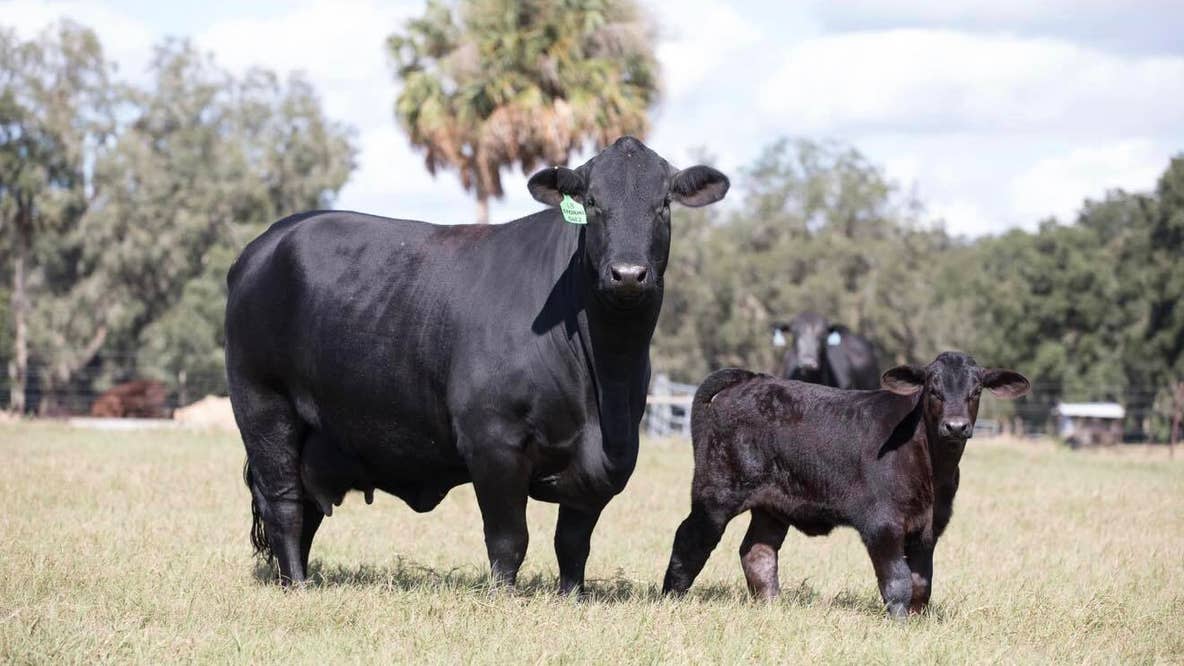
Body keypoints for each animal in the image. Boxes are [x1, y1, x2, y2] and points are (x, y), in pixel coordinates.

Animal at [225, 136, 729, 590]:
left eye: (663, 204)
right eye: (591, 202)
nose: (627, 274)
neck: (604, 380)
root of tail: (270, 240)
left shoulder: (606, 460)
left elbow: (573, 542)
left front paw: (573, 596)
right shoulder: (493, 442)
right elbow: (509, 540)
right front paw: (502, 597)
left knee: (306, 508)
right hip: (264, 407)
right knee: (285, 505)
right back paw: (297, 586)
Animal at [662, 352, 1030, 618]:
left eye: (976, 390)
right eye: (933, 389)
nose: (955, 426)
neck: (933, 469)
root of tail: (752, 378)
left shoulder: (929, 528)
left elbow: (921, 583)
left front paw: (917, 622)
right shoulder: (882, 523)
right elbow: (898, 581)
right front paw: (899, 623)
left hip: (772, 504)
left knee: (758, 551)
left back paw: (772, 607)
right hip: (717, 492)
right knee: (691, 538)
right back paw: (670, 598)